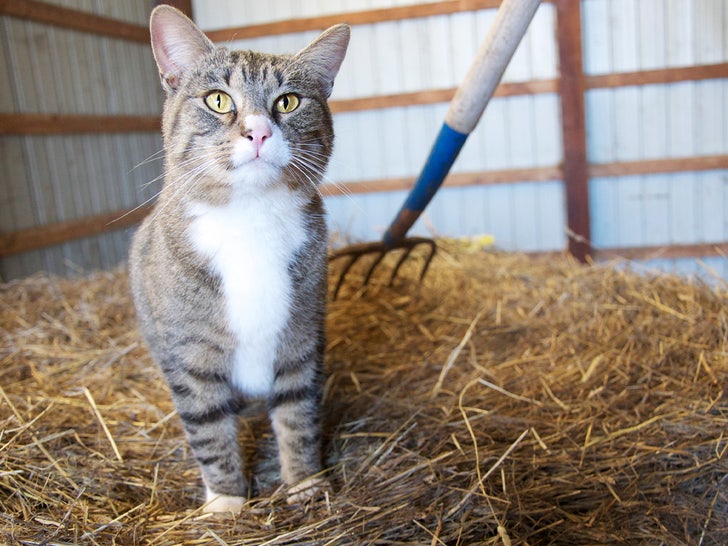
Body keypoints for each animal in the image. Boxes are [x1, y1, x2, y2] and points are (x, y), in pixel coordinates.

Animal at [129, 6, 350, 512]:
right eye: (217, 100)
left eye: (288, 102)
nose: (259, 131)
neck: (251, 217)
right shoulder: (190, 353)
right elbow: (208, 427)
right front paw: (226, 503)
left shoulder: (301, 337)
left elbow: (297, 413)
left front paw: (305, 483)